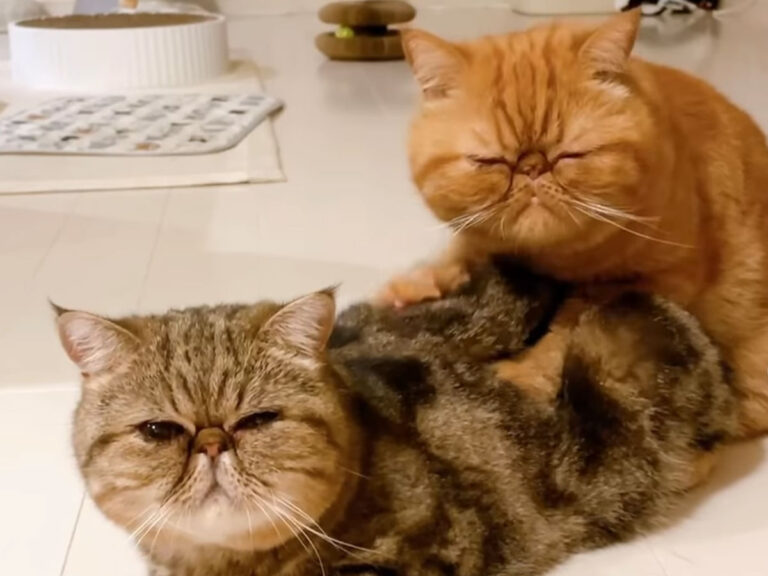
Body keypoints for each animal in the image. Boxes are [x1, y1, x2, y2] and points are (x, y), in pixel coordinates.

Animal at [379, 9, 768, 437]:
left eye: (571, 155)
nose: (532, 169)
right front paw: (420, 284)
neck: (550, 261)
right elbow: (461, 251)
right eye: (489, 162)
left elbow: (564, 336)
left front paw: (522, 376)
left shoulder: (654, 280)